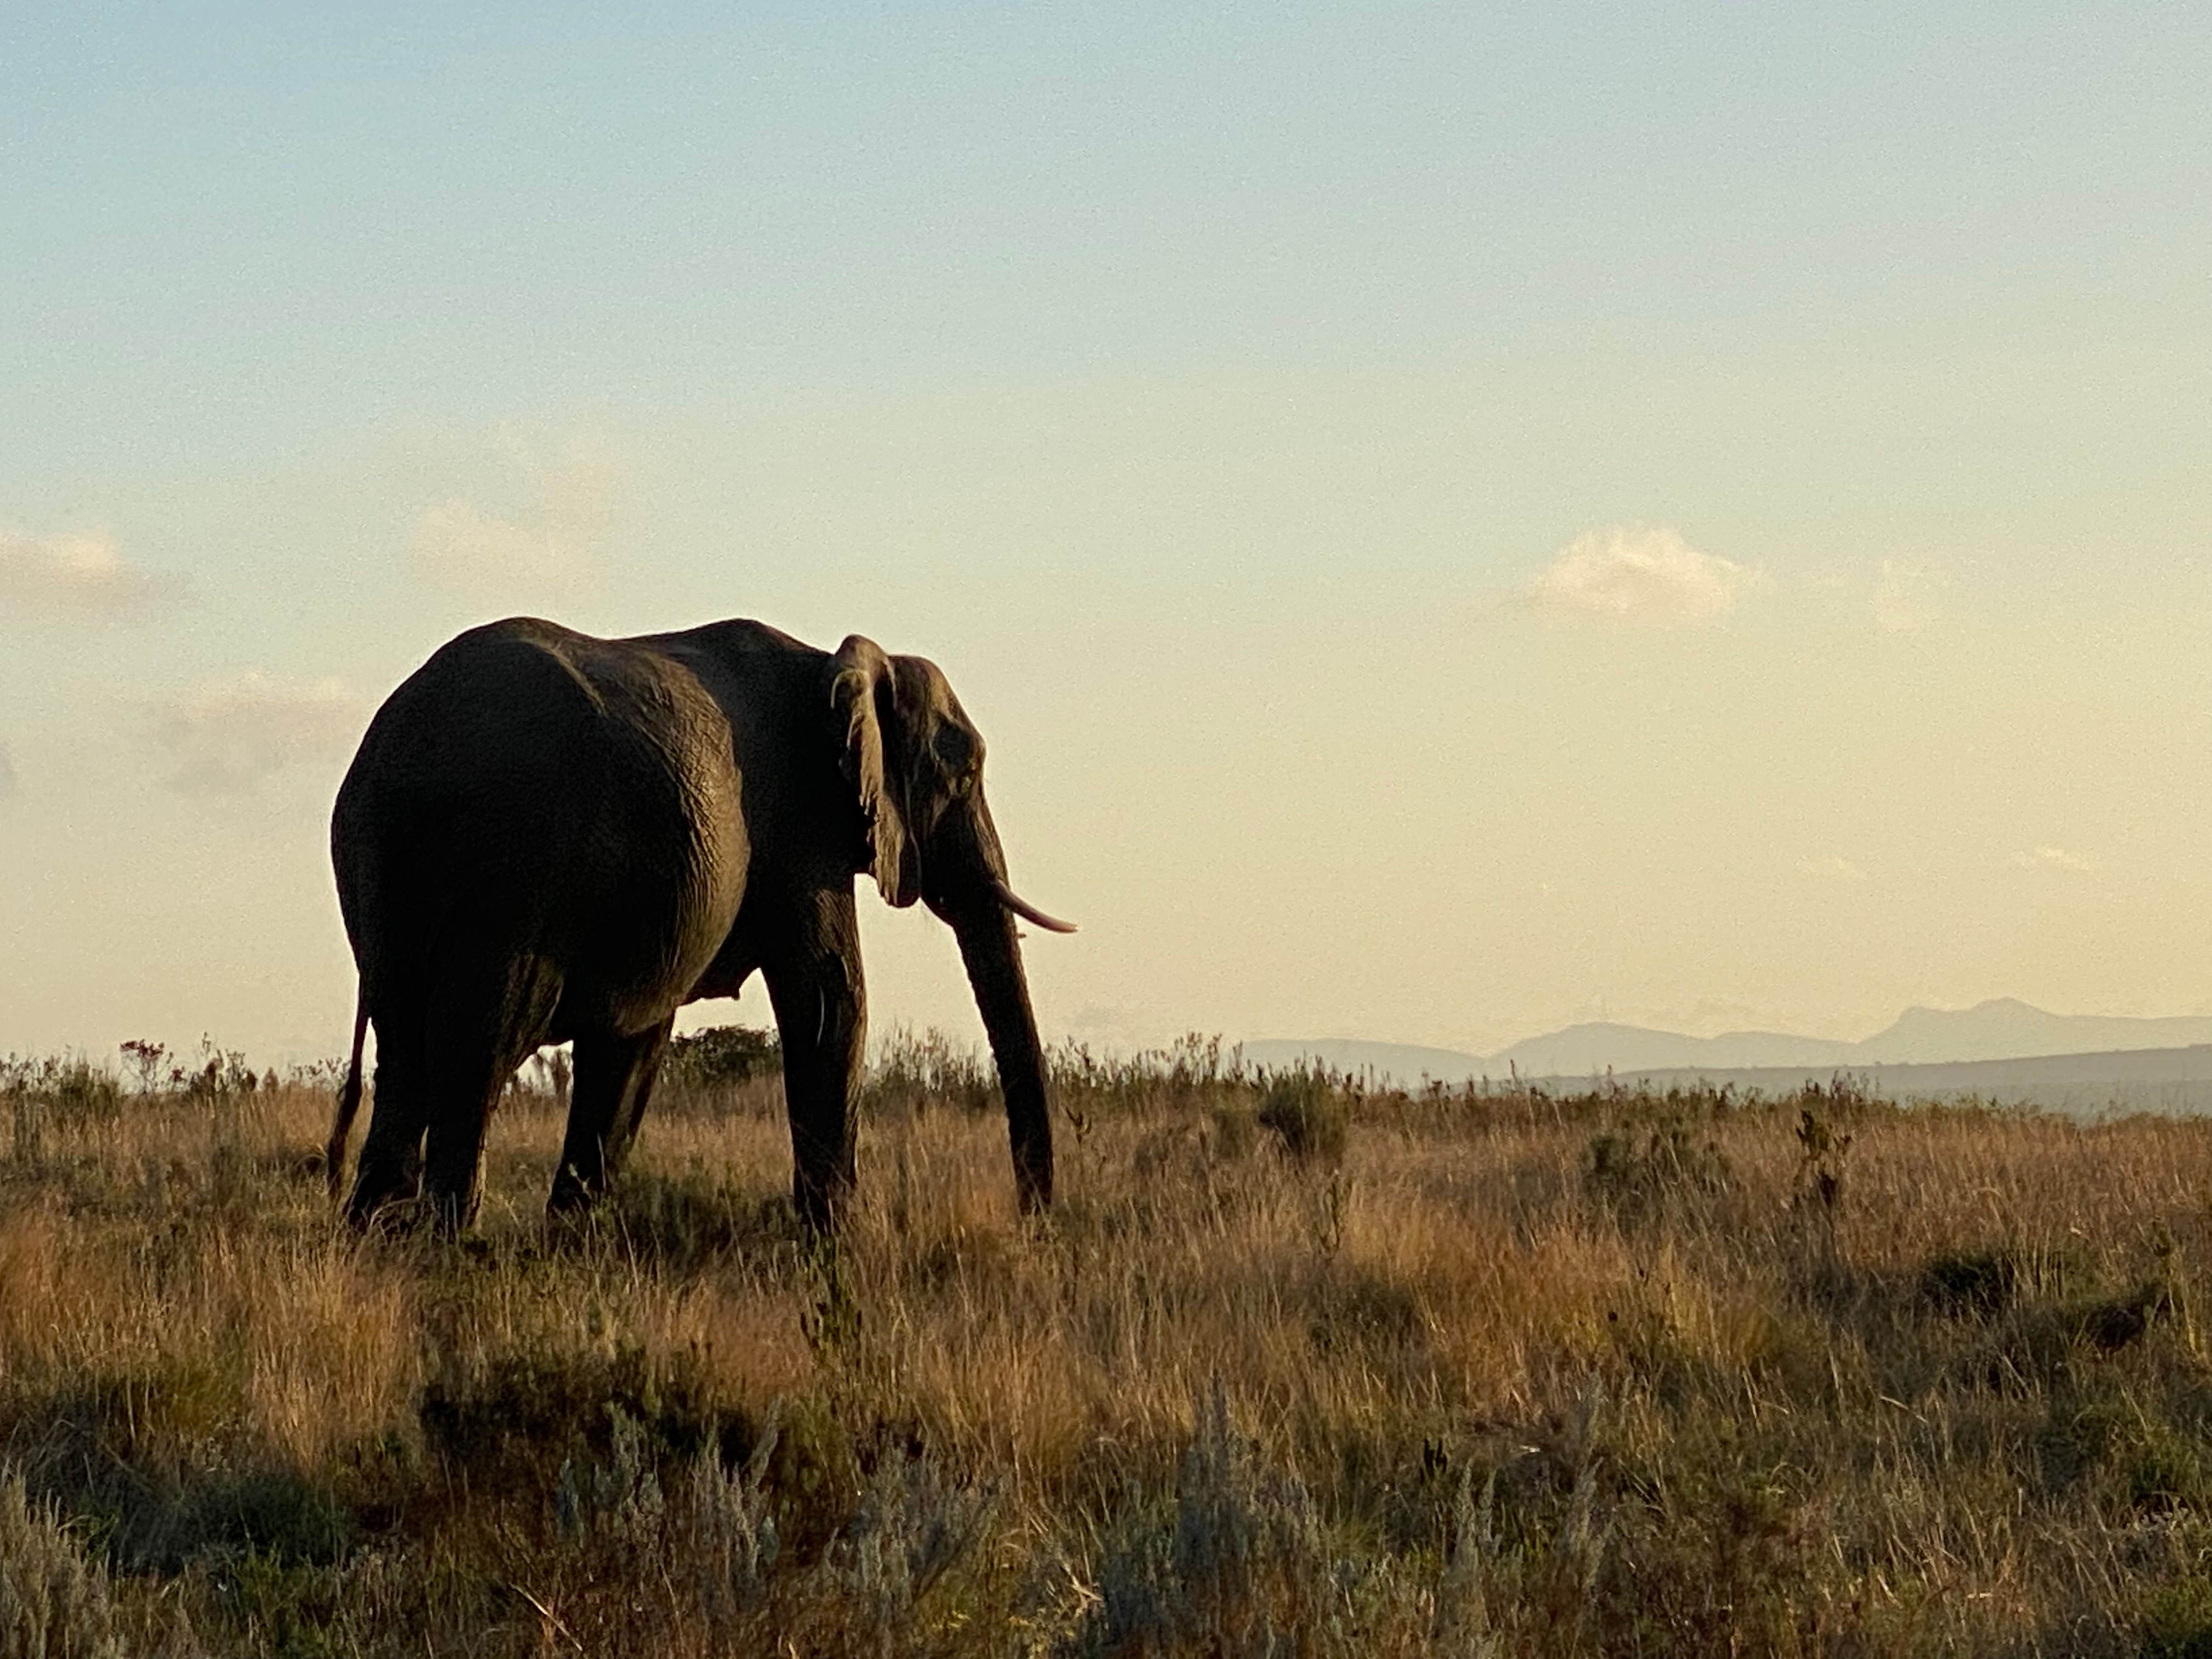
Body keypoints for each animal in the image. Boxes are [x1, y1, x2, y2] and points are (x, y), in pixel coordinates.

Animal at [323, 615, 1074, 1232]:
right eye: (965, 772)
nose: (1033, 1219)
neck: (835, 665)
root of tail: (405, 750)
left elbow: (636, 1037)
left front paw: (573, 1241)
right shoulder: (801, 828)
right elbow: (831, 1000)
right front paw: (837, 1243)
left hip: (379, 866)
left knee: (406, 1055)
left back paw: (377, 1239)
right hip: (512, 865)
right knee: (483, 1046)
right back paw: (447, 1245)